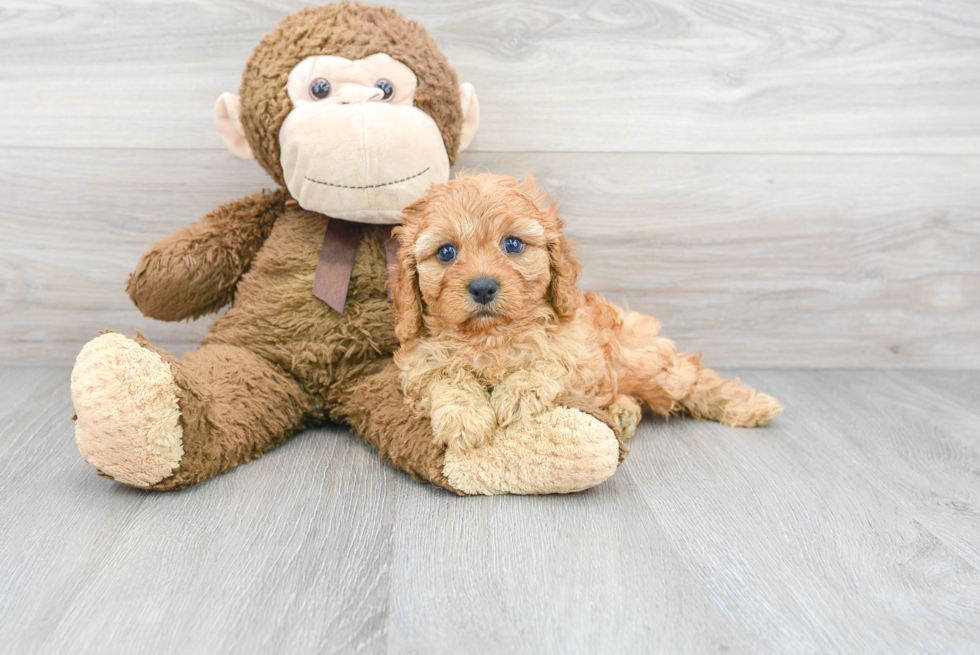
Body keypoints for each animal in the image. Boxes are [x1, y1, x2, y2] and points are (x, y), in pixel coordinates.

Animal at [390, 172, 780, 454]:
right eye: (446, 252)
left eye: (513, 244)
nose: (483, 287)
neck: (492, 336)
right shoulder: (418, 364)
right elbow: (445, 377)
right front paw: (464, 417)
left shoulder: (582, 353)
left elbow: (551, 361)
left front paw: (518, 392)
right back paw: (622, 412)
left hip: (647, 363)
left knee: (694, 379)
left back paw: (753, 405)